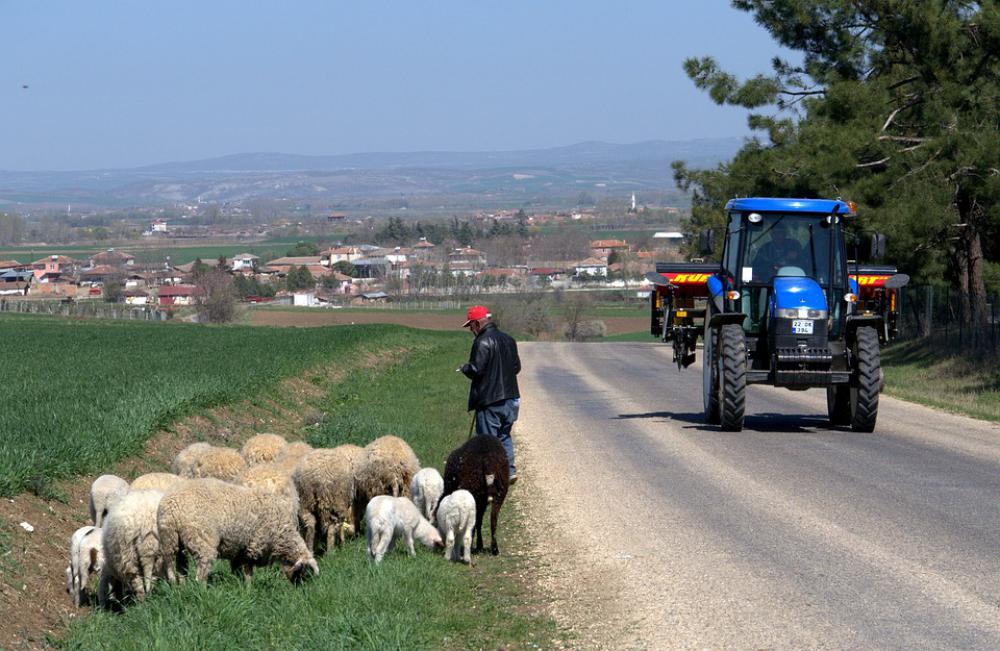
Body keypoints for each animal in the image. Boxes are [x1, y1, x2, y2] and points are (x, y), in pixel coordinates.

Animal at [157, 478, 318, 584]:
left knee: (174, 567)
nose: (299, 591)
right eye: (305, 573)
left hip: (170, 540)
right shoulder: (253, 546)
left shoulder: (238, 549)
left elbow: (239, 571)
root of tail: (171, 506)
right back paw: (202, 591)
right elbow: (248, 572)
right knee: (201, 572)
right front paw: (249, 589)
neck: (282, 534)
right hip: (202, 539)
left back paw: (179, 587)